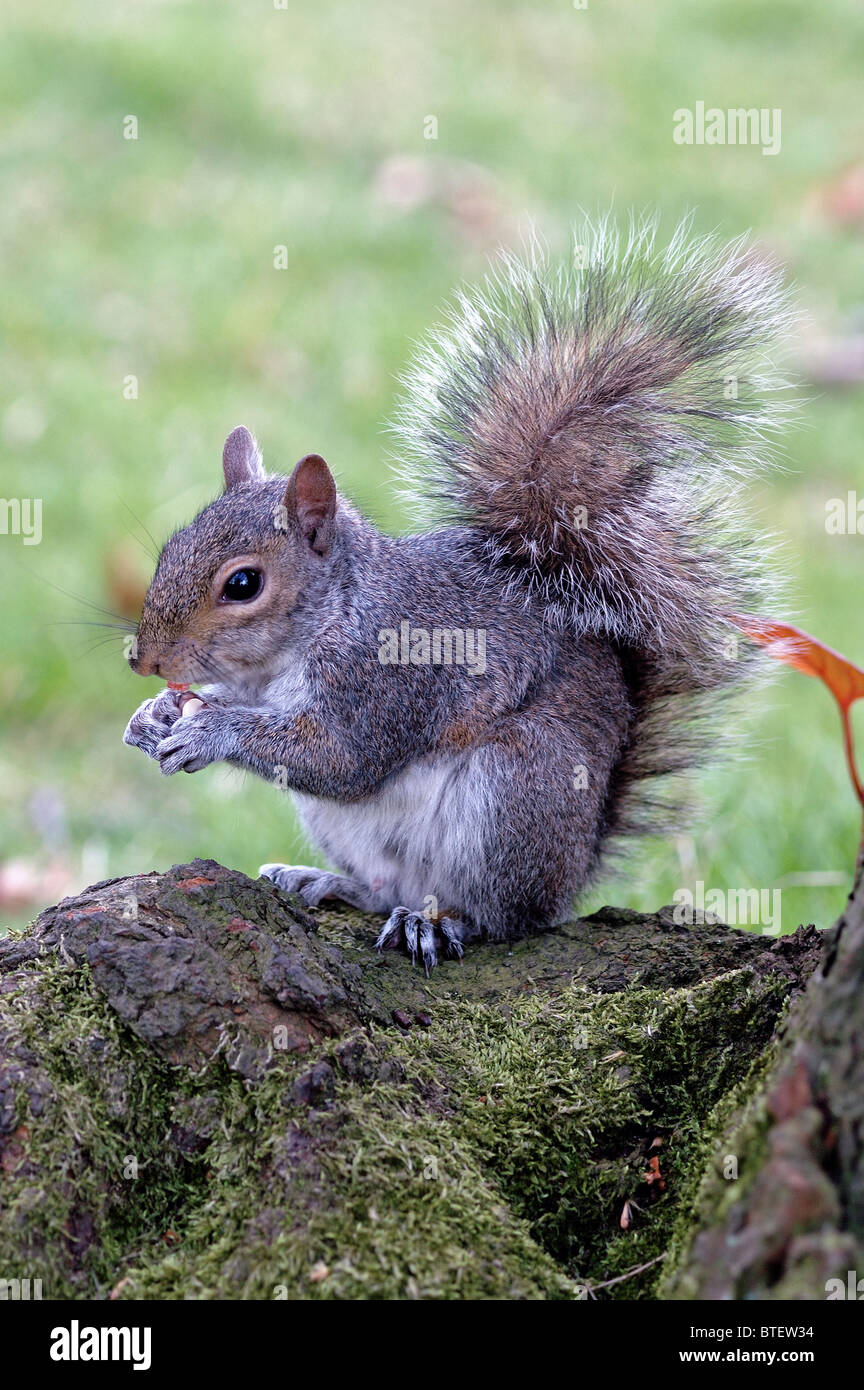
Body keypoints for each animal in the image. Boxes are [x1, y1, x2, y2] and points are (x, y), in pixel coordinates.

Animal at [123, 217, 789, 972]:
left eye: (243, 584)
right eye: (170, 547)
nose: (145, 661)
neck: (328, 618)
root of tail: (576, 864)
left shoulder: (386, 680)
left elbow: (339, 757)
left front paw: (210, 729)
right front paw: (154, 716)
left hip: (513, 794)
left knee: (505, 917)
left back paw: (442, 921)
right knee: (383, 887)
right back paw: (330, 882)